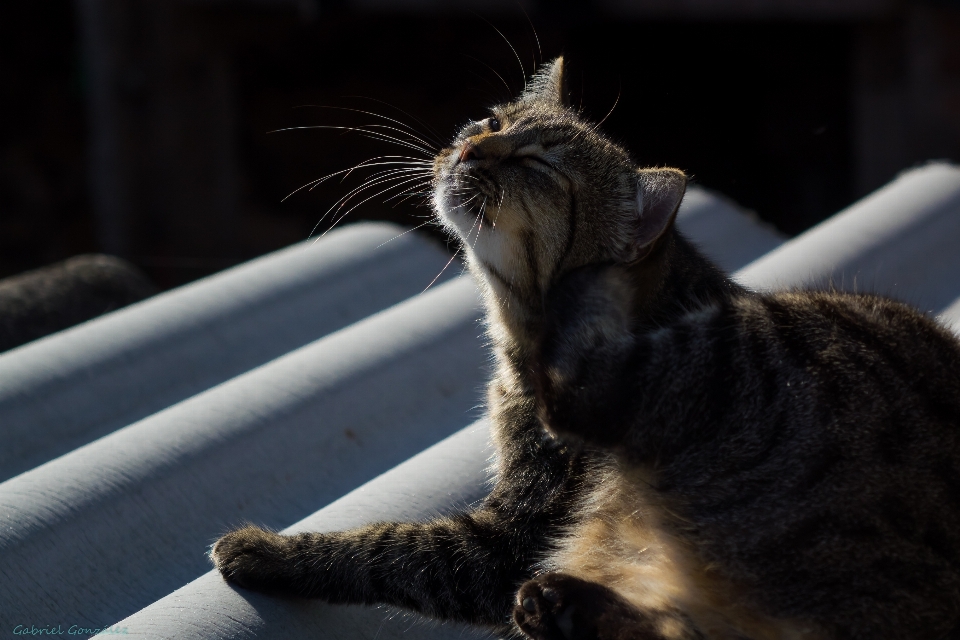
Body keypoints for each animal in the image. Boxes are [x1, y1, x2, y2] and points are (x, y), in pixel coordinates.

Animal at [212, 57, 960, 636]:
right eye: (493, 122)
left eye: (538, 163)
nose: (466, 149)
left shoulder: (510, 536)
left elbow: (386, 550)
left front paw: (266, 550)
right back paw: (563, 607)